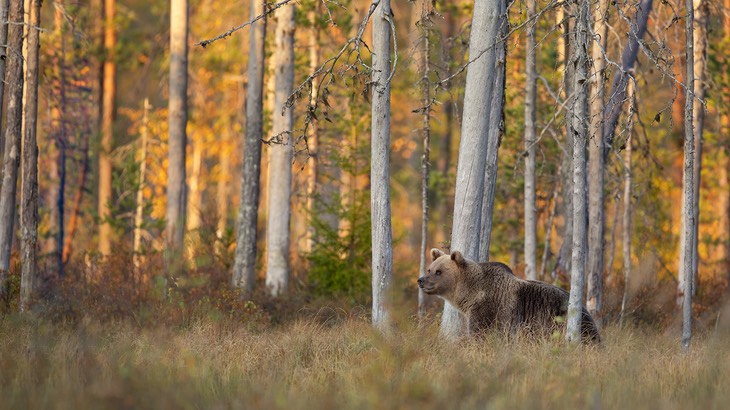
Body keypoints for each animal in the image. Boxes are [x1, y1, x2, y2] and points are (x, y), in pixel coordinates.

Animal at [418, 248, 600, 344]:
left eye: (439, 272)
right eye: (429, 268)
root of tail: (583, 308)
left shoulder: (488, 309)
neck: (471, 293)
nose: (421, 280)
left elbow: (480, 333)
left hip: (558, 321)